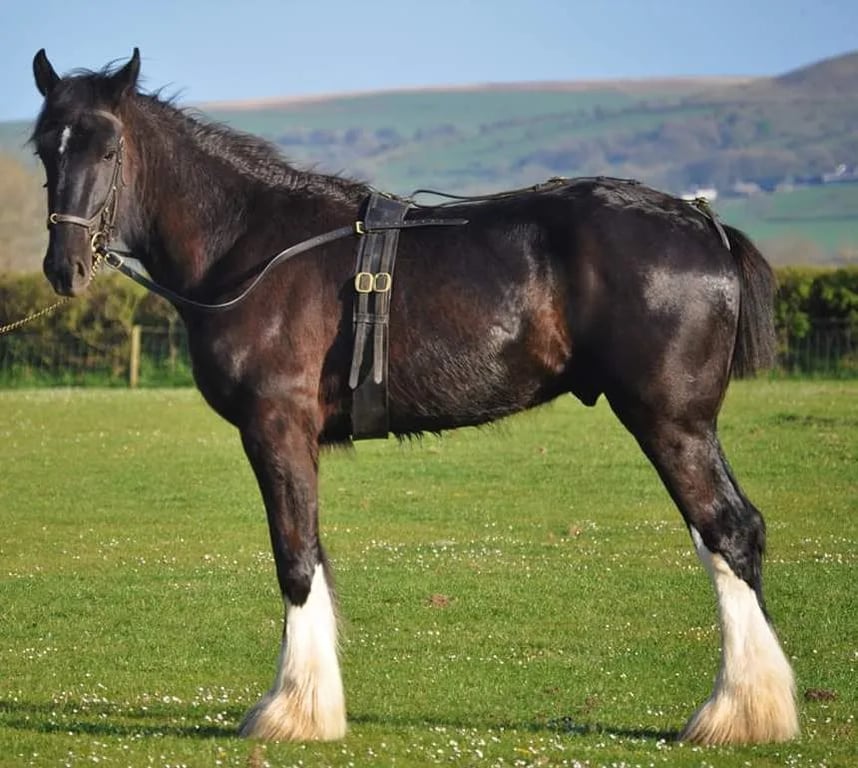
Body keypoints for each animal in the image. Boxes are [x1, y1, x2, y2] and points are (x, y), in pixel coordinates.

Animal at [30, 48, 799, 746]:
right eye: (44, 148)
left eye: (108, 147)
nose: (64, 269)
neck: (251, 246)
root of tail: (704, 226)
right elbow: (313, 553)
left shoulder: (275, 427)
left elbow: (295, 558)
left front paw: (293, 712)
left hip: (671, 421)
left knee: (729, 531)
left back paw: (738, 712)